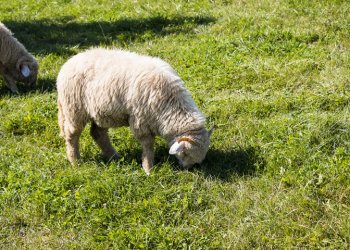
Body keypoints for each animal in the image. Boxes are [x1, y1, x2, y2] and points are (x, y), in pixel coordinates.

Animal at [56, 47, 213, 175]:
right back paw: (75, 161)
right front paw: (149, 168)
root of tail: (68, 63)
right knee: (72, 135)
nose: (188, 169)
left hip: (100, 112)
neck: (170, 103)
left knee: (98, 133)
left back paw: (114, 156)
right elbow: (148, 145)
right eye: (185, 154)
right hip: (74, 109)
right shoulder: (140, 120)